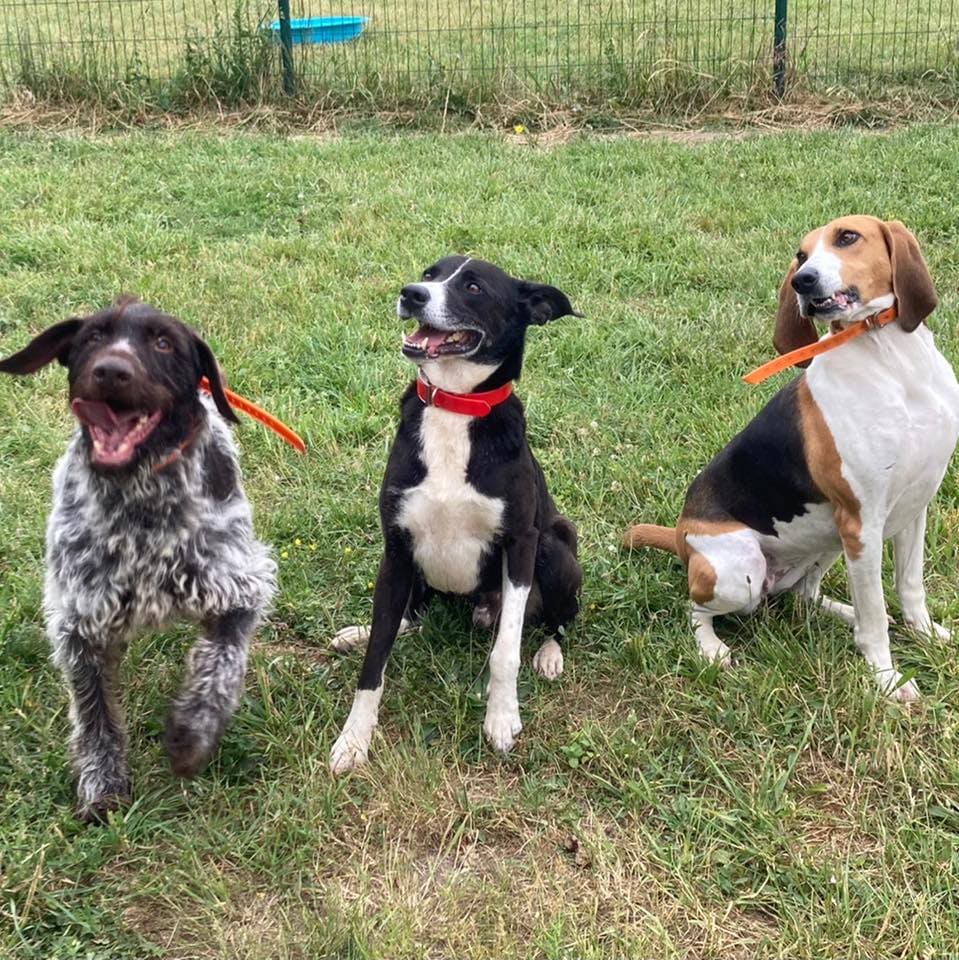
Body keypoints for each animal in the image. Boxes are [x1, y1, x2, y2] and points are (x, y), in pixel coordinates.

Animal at [0, 298, 276, 816]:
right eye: (93, 337)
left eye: (164, 342)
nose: (112, 370)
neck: (140, 502)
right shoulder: (80, 623)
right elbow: (94, 711)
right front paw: (102, 782)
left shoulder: (238, 585)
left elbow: (220, 663)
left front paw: (192, 732)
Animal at [330, 253, 584, 772]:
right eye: (429, 274)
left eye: (473, 286)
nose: (411, 294)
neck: (455, 407)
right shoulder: (397, 547)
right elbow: (377, 654)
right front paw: (353, 739)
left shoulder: (521, 543)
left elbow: (506, 651)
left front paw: (502, 718)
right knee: (410, 616)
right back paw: (357, 631)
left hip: (554, 549)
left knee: (558, 620)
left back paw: (550, 654)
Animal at [632, 216, 959, 696]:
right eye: (800, 255)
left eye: (847, 237)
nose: (802, 280)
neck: (890, 360)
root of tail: (681, 534)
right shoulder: (862, 522)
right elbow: (876, 621)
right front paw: (887, 680)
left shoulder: (915, 506)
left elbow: (909, 587)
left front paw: (925, 634)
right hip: (742, 571)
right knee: (694, 609)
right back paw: (712, 648)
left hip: (829, 542)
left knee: (804, 596)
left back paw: (844, 613)